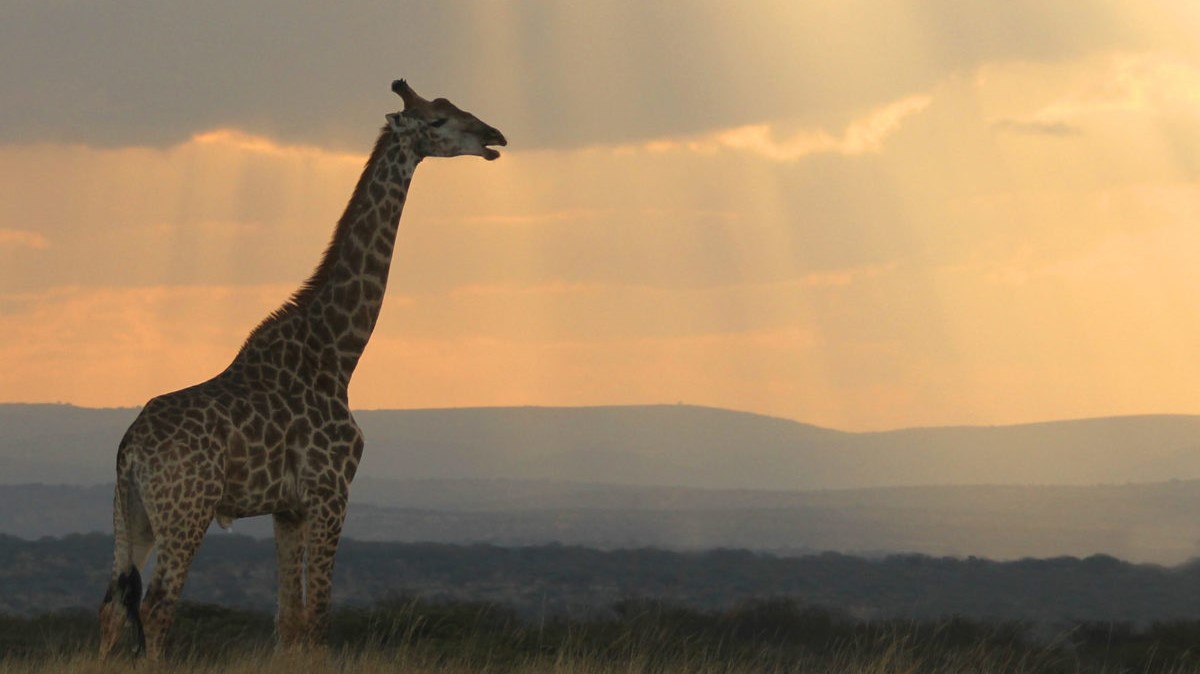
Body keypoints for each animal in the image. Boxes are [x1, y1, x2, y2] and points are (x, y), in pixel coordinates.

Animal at [97, 79, 506, 662]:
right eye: (437, 122)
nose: (494, 137)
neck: (338, 353)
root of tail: (130, 449)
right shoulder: (331, 491)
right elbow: (318, 622)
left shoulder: (286, 508)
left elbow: (288, 623)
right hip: (186, 512)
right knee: (156, 609)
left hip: (129, 513)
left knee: (112, 610)